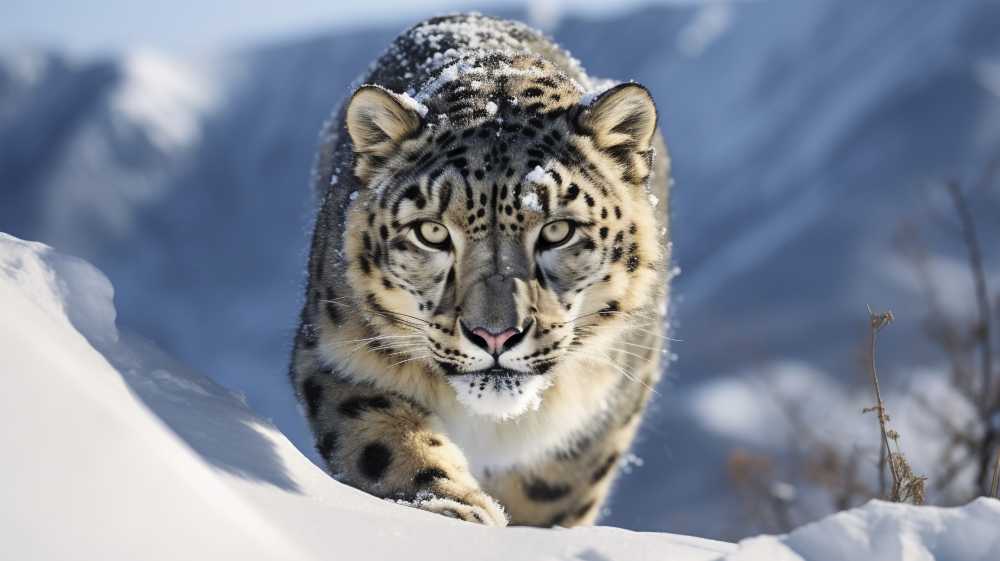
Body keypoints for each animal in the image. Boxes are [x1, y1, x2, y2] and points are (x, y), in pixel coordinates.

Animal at [290, 13, 672, 527]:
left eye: (558, 230)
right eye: (431, 232)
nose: (495, 335)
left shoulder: (606, 408)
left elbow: (553, 492)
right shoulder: (338, 355)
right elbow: (384, 439)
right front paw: (457, 512)